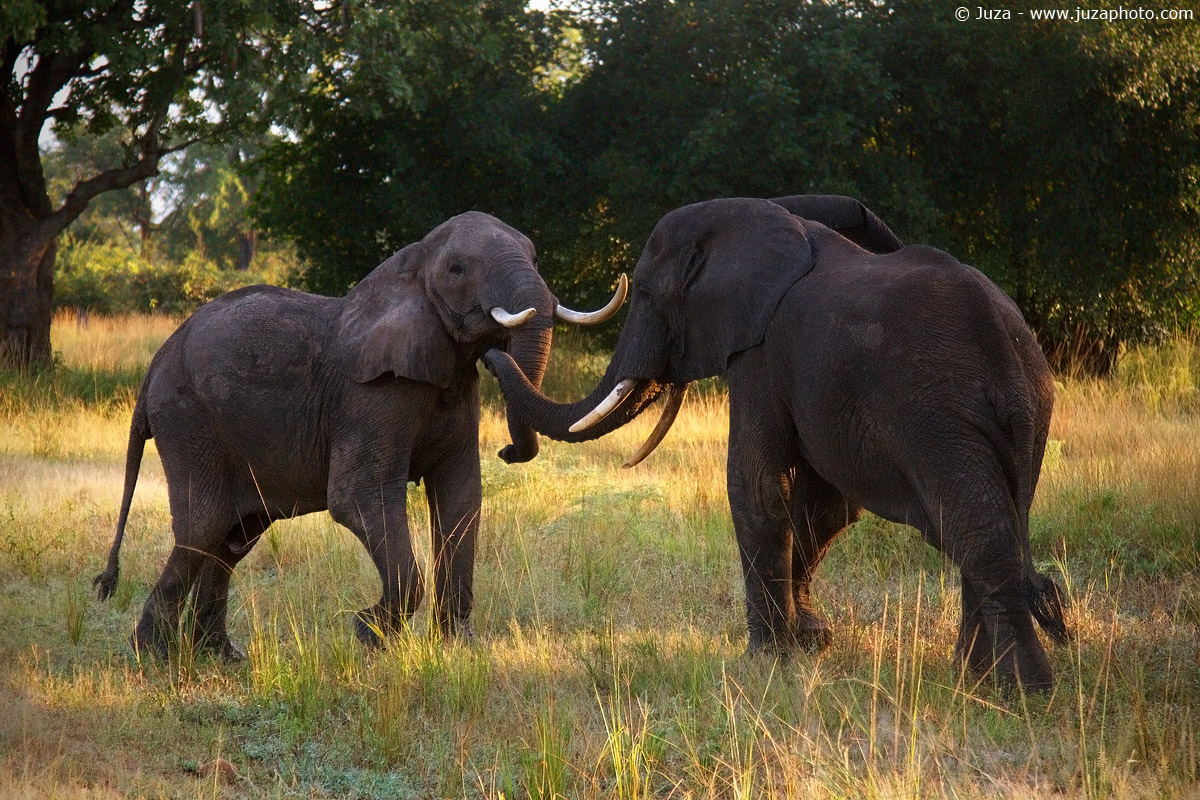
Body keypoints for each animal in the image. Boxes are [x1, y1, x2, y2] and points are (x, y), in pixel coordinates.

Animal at [93, 211, 627, 660]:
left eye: (535, 258)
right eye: (457, 269)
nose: (510, 449)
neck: (411, 267)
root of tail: (157, 362)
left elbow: (461, 497)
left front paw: (458, 648)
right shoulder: (371, 395)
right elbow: (358, 495)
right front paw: (365, 633)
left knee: (231, 538)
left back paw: (220, 657)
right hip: (189, 419)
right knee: (203, 528)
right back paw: (151, 658)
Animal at [484, 196, 1070, 689]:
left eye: (645, 295)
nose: (489, 353)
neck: (776, 215)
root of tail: (1004, 348)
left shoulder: (761, 353)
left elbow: (758, 486)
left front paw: (764, 660)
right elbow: (826, 505)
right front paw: (811, 642)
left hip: (938, 416)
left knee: (978, 531)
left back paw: (1022, 691)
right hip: (1024, 414)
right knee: (985, 522)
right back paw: (972, 680)